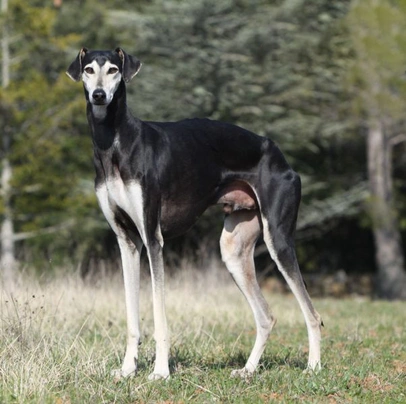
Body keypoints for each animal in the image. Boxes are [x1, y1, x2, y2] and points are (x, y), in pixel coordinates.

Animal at [66, 48, 322, 382]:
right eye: (88, 69)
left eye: (112, 70)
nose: (99, 96)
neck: (116, 143)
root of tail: (280, 155)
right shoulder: (127, 242)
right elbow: (132, 316)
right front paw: (127, 369)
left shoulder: (153, 239)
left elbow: (159, 315)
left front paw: (160, 372)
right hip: (233, 250)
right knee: (266, 316)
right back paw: (247, 370)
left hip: (278, 240)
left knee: (312, 313)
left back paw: (313, 366)